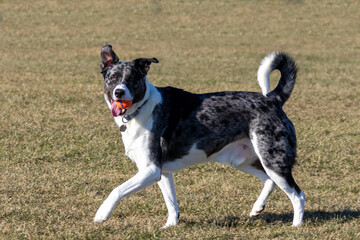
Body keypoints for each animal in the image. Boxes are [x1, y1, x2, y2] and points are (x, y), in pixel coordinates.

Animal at [94, 45, 306, 229]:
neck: (141, 108)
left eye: (132, 79)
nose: (119, 92)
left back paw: (296, 226)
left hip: (273, 160)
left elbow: (117, 190)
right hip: (243, 160)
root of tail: (273, 99)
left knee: (298, 195)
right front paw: (170, 226)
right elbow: (172, 203)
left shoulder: (151, 170)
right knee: (269, 181)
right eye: (112, 77)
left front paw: (101, 214)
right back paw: (257, 208)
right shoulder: (162, 172)